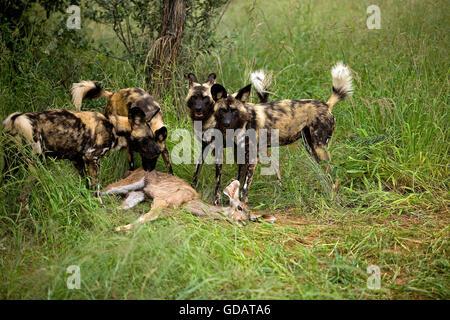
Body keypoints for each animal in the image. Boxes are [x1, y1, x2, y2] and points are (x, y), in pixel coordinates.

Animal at [1, 109, 158, 188]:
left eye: (153, 137)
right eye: (148, 138)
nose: (158, 149)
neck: (113, 127)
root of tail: (17, 119)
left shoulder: (78, 161)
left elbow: (86, 185)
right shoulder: (92, 158)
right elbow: (96, 187)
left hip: (11, 166)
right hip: (36, 164)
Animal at [211, 61, 356, 204]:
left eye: (234, 111)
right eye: (223, 110)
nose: (226, 124)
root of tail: (326, 105)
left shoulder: (252, 158)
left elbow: (245, 188)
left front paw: (242, 204)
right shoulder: (241, 156)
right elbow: (237, 182)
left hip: (320, 148)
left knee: (334, 174)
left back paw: (332, 198)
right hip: (311, 148)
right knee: (326, 173)